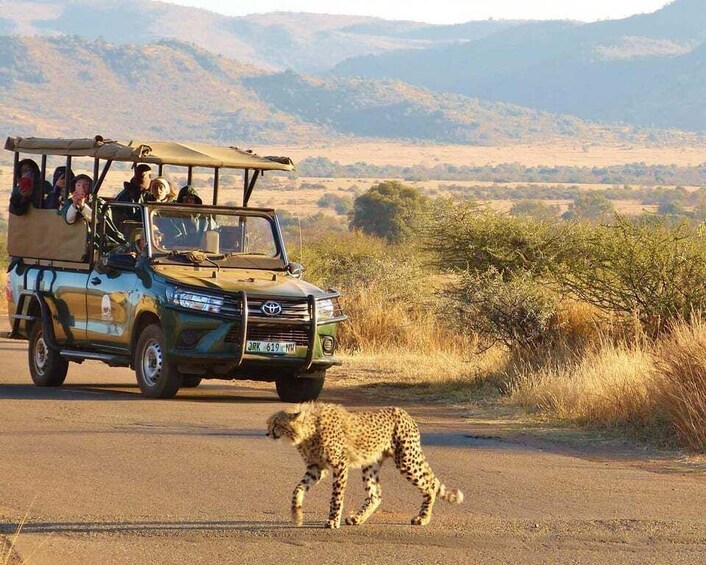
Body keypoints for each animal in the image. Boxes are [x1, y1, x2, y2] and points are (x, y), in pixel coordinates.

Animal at [266, 402, 464, 529]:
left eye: (276, 424)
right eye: (269, 424)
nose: (267, 433)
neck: (310, 427)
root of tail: (403, 412)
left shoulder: (340, 465)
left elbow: (336, 497)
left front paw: (332, 521)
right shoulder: (316, 468)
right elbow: (297, 490)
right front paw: (296, 513)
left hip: (407, 460)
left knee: (429, 486)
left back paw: (423, 518)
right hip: (371, 464)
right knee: (375, 495)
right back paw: (357, 518)